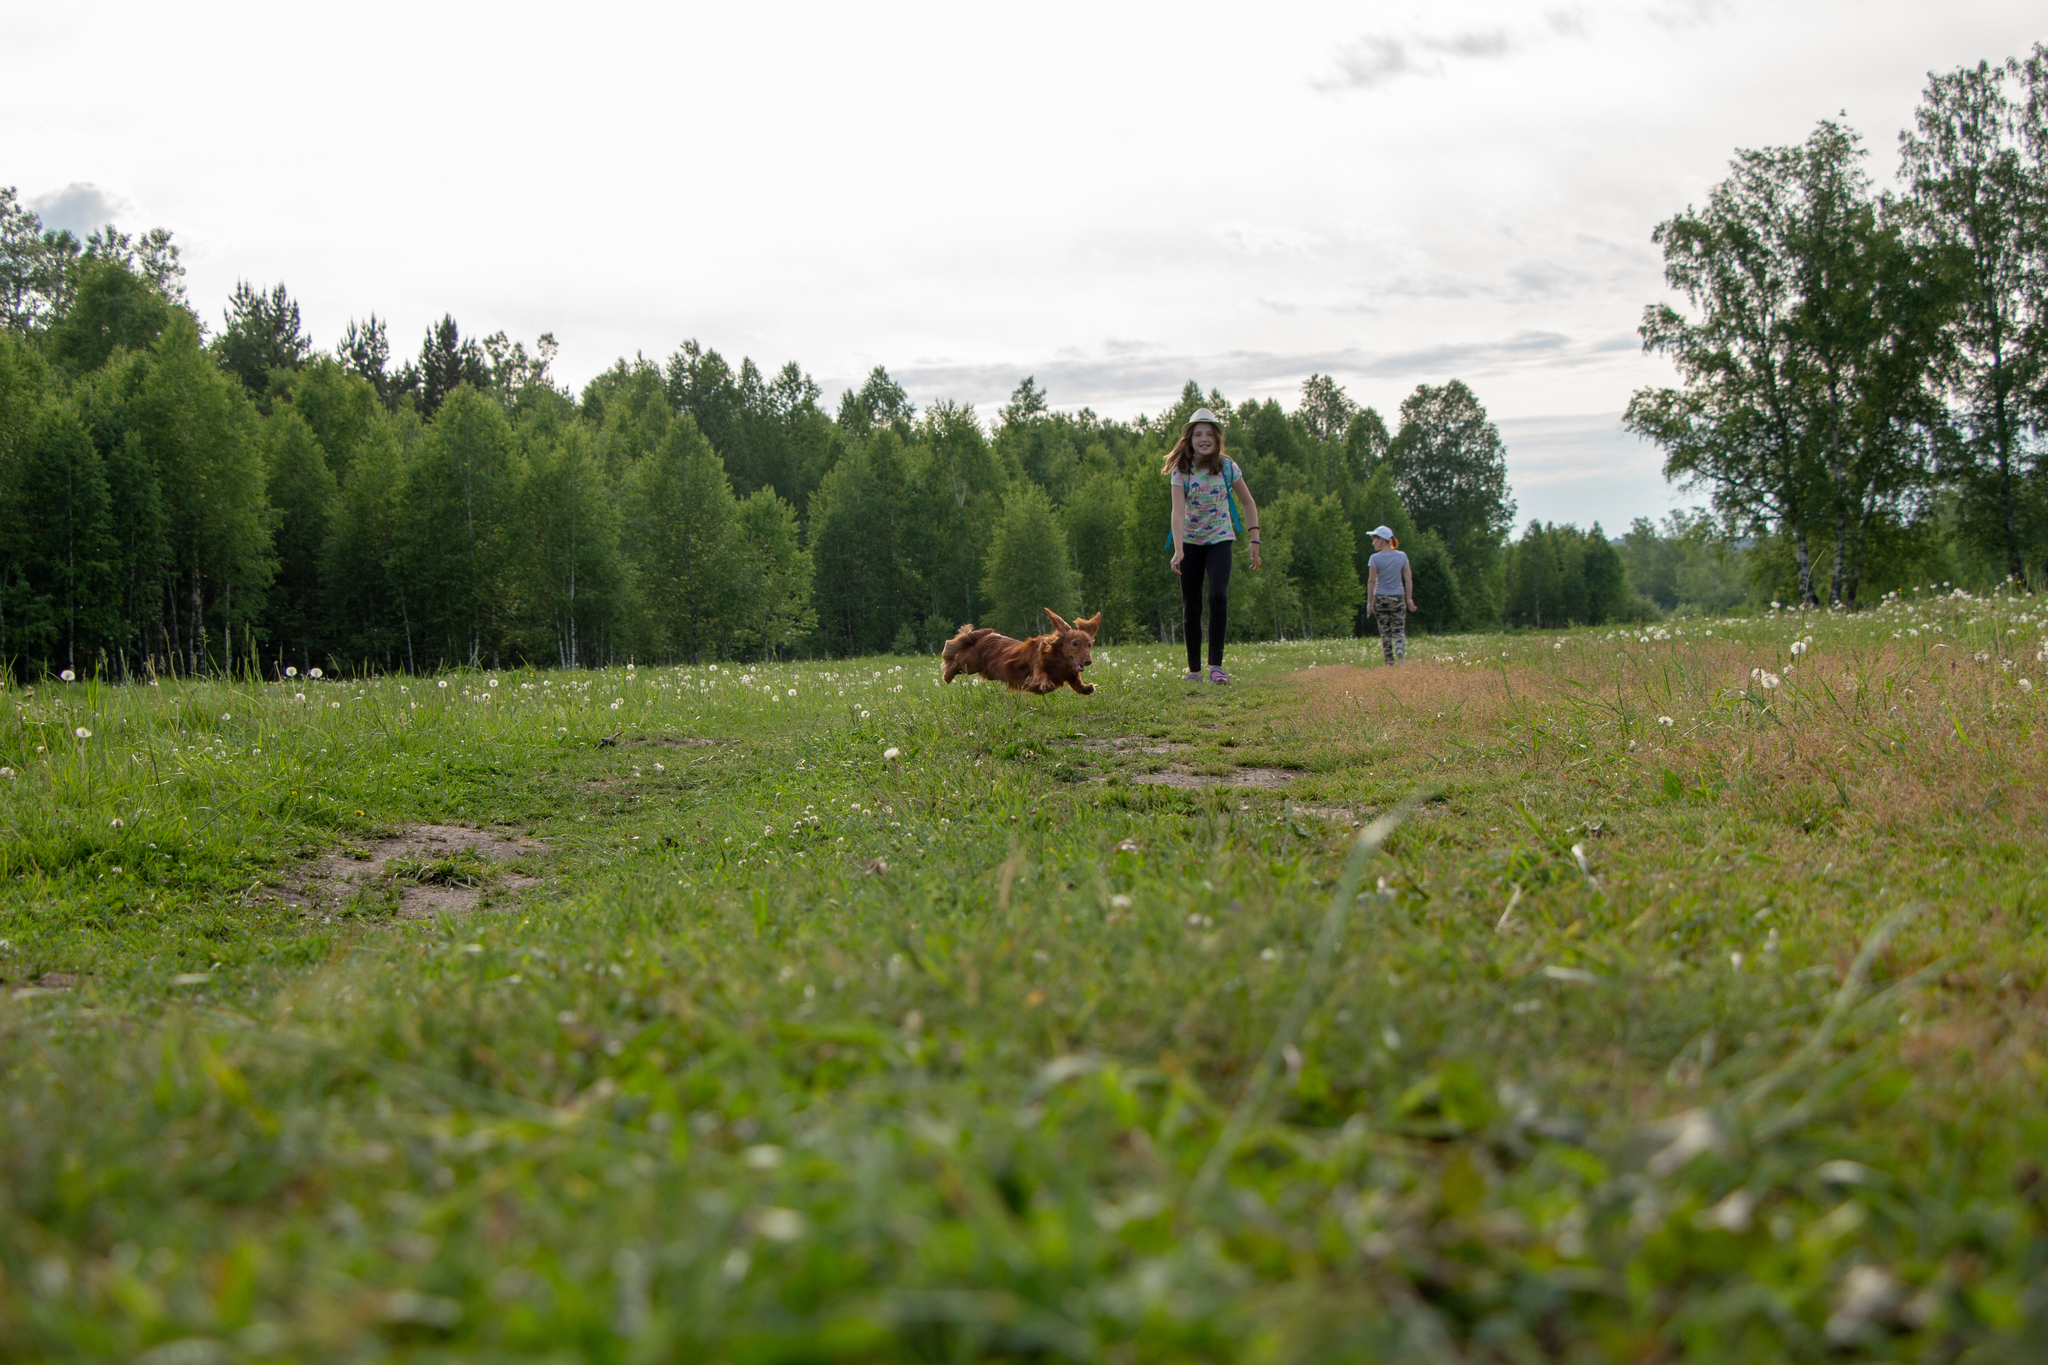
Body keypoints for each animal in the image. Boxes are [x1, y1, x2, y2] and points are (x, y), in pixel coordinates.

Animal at [942, 609, 1105, 695]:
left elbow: (1077, 682)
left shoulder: (1071, 674)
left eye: (1089, 644)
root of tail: (983, 637)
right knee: (955, 661)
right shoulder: (1037, 667)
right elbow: (1042, 675)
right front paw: (1046, 685)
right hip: (969, 664)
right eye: (1074, 643)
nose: (1088, 661)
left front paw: (1087, 687)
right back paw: (947, 676)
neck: (1058, 660)